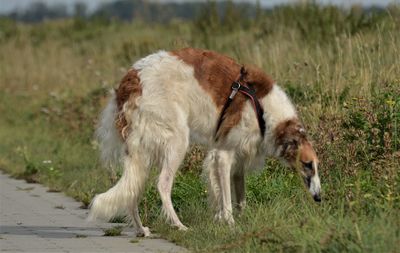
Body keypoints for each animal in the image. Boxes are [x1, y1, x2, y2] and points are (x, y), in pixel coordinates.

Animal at [88, 48, 322, 237]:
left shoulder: (237, 160)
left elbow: (239, 197)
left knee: (131, 189)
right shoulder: (223, 155)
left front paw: (237, 219)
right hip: (176, 140)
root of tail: (132, 78)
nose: (319, 198)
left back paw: (141, 229)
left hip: (140, 152)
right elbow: (226, 200)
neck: (262, 109)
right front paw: (230, 223)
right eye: (307, 165)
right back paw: (178, 225)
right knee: (162, 184)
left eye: (315, 166)